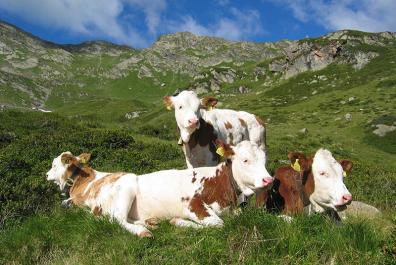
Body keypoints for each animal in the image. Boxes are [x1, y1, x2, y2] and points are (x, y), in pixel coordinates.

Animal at [46, 140, 274, 237]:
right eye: (245, 160)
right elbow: (219, 224)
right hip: (127, 185)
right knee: (116, 219)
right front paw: (180, 222)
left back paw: (150, 222)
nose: (268, 179)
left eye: (264, 159)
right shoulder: (193, 204)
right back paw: (142, 231)